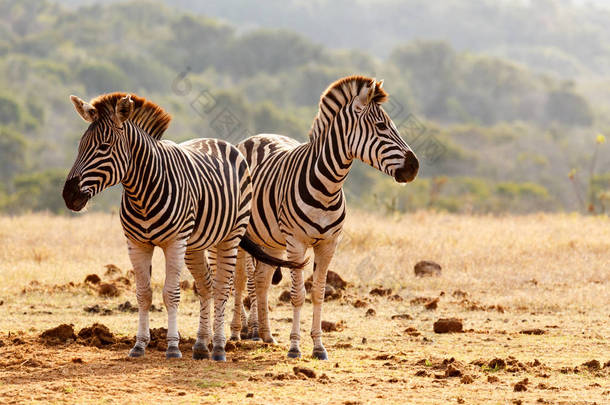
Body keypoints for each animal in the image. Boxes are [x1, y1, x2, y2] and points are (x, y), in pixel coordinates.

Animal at [61, 91, 304, 360]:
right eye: (80, 146)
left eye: (104, 147)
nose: (68, 196)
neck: (142, 193)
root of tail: (221, 142)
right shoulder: (136, 244)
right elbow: (143, 294)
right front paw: (139, 345)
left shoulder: (174, 243)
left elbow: (171, 293)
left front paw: (172, 347)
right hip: (197, 245)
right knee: (207, 286)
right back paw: (201, 345)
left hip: (230, 237)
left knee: (223, 287)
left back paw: (219, 347)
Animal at [232, 75, 418, 356]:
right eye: (381, 126)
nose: (414, 167)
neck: (328, 186)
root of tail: (255, 137)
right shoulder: (296, 244)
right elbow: (297, 295)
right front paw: (295, 347)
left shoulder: (329, 245)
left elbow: (319, 293)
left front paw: (318, 347)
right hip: (244, 234)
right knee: (241, 280)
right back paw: (235, 332)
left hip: (270, 239)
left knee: (261, 280)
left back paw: (264, 334)